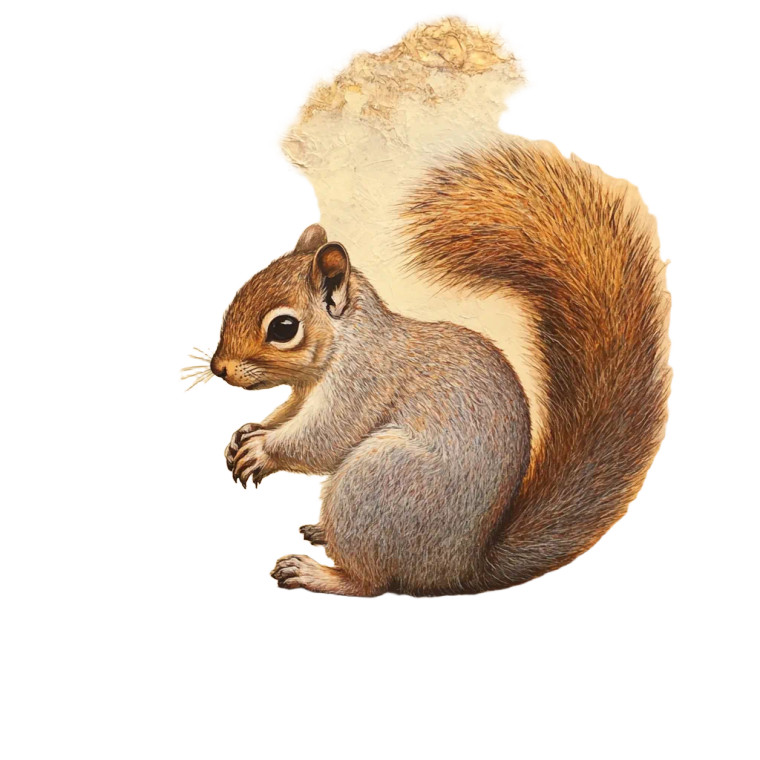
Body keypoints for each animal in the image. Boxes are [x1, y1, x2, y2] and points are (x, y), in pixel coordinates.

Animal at [208, 137, 671, 597]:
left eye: (283, 327)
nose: (218, 368)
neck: (347, 340)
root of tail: (461, 569)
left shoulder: (364, 382)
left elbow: (325, 437)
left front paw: (262, 450)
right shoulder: (303, 391)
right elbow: (285, 414)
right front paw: (248, 432)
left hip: (379, 479)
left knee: (370, 583)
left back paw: (316, 572)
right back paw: (321, 532)